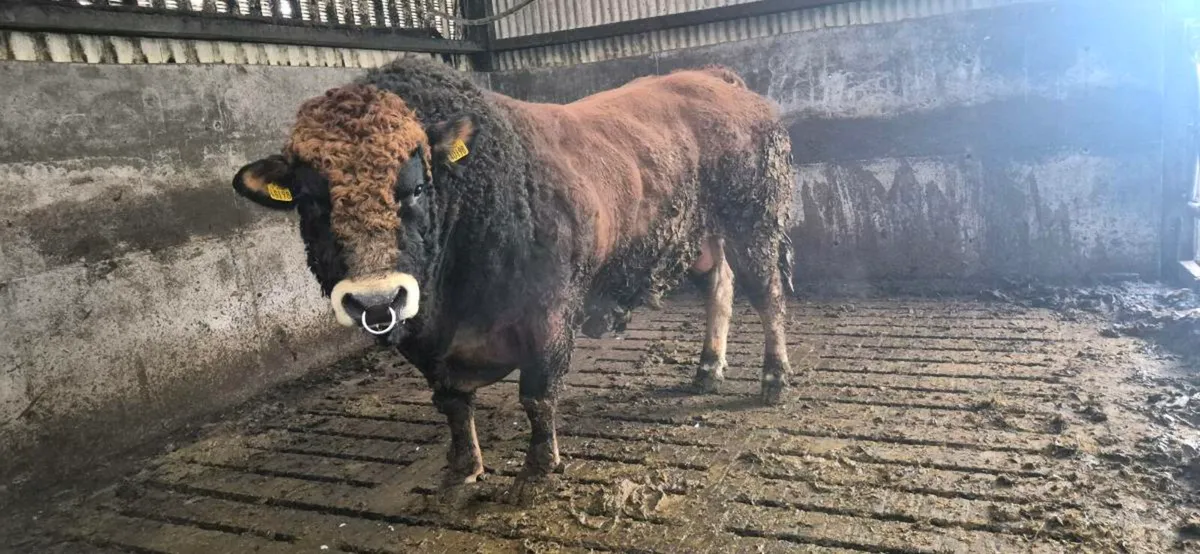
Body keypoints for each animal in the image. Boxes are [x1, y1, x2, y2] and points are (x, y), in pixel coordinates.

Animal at [230, 57, 795, 502]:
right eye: (309, 201)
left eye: (416, 187)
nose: (375, 298)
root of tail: (715, 77)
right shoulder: (426, 344)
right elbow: (452, 404)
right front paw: (463, 469)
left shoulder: (548, 318)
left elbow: (537, 396)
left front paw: (536, 474)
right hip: (709, 236)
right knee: (720, 288)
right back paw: (707, 367)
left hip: (754, 221)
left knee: (767, 296)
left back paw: (773, 378)